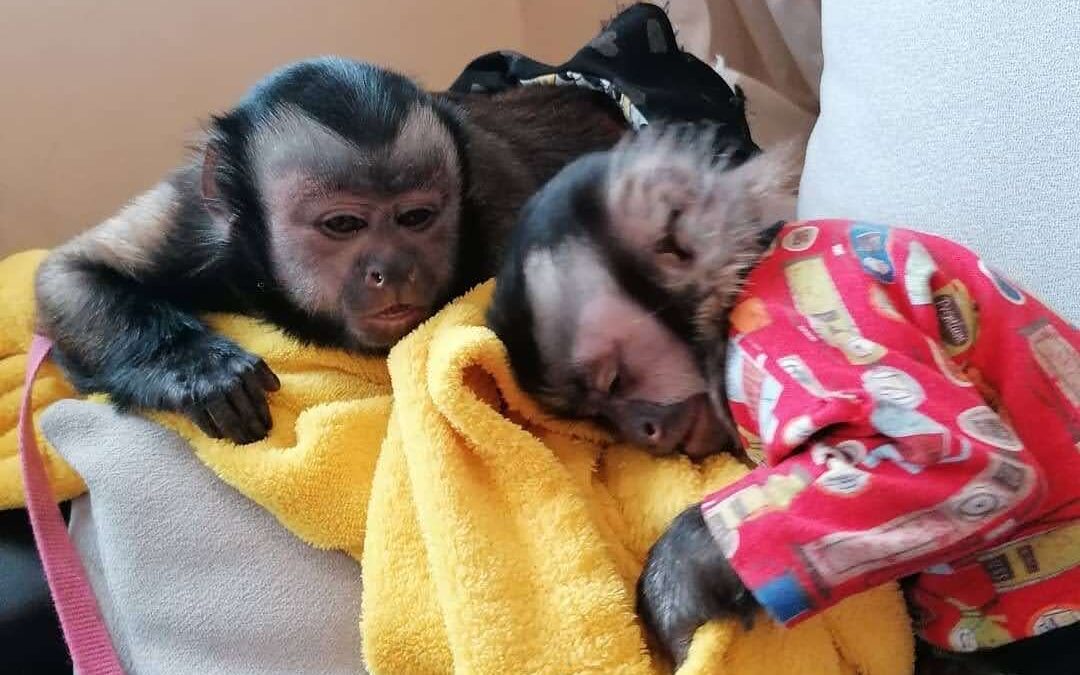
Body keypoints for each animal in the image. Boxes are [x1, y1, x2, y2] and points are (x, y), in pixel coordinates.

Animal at [34, 56, 629, 444]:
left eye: (415, 218)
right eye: (344, 224)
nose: (393, 269)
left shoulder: (501, 209)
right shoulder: (199, 216)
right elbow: (68, 272)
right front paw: (196, 367)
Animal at [486, 127, 1080, 674]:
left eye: (613, 381)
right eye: (598, 414)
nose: (641, 431)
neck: (742, 280)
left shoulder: (789, 329)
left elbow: (966, 466)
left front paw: (681, 579)